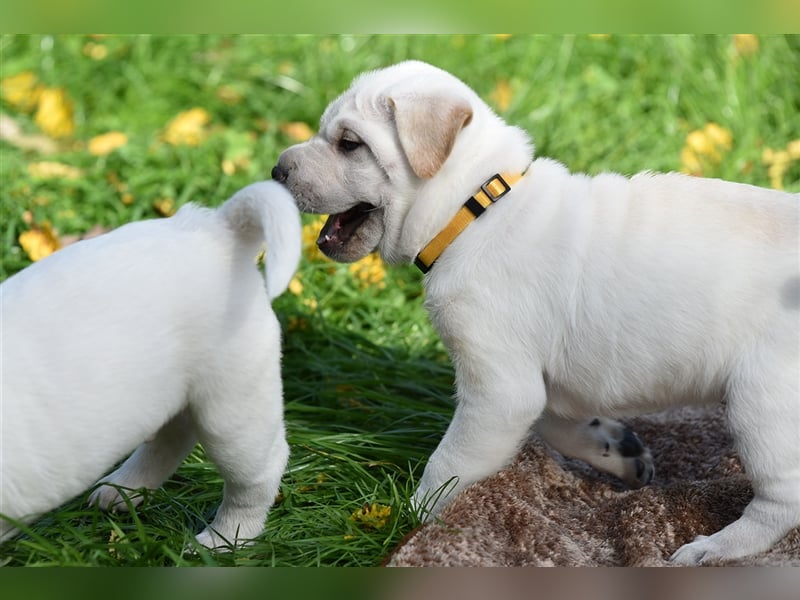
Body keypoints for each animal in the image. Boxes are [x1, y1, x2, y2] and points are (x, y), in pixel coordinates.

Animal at [0, 180, 300, 552]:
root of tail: (217, 229)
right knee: (173, 436)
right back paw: (123, 489)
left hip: (232, 411)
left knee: (258, 473)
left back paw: (224, 539)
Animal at [272, 58, 796, 564]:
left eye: (349, 144)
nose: (276, 169)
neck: (475, 210)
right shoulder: (540, 382)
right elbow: (555, 423)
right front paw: (616, 449)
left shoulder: (498, 391)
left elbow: (450, 466)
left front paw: (413, 519)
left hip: (761, 405)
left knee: (781, 502)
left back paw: (715, 548)